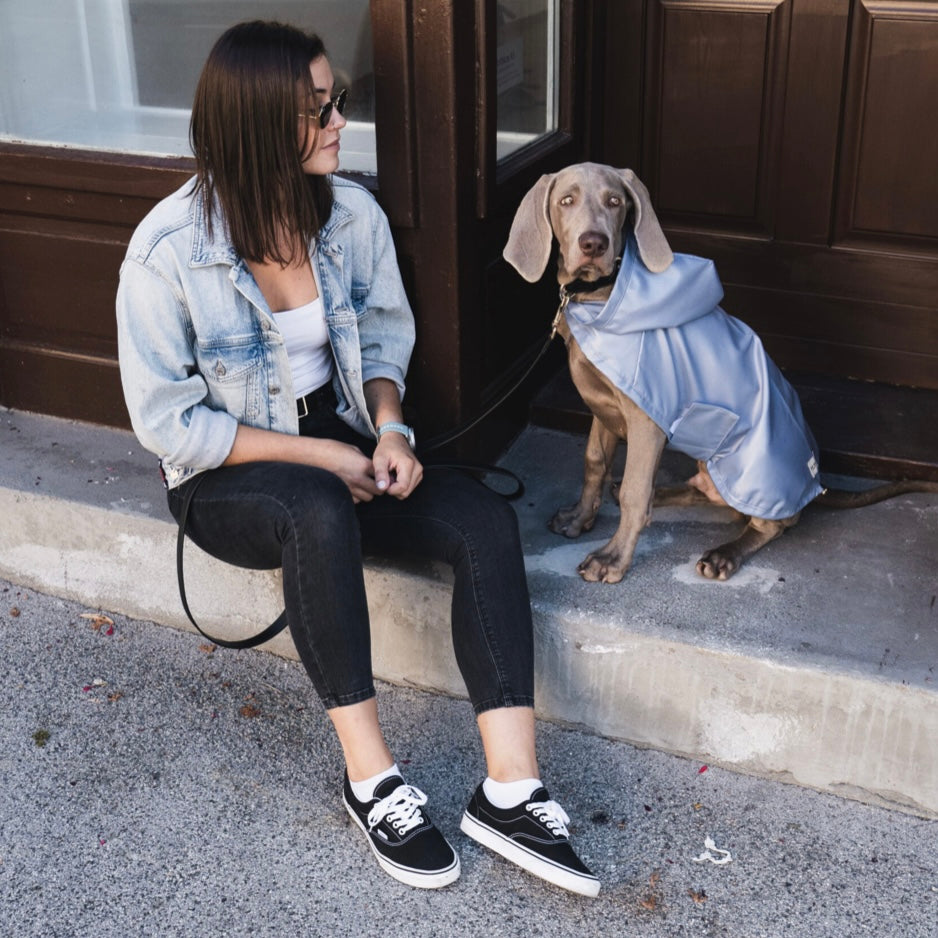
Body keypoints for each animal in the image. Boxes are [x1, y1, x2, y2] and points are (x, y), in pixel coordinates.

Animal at [504, 165, 936, 580]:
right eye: (566, 200)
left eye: (615, 202)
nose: (593, 244)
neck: (599, 298)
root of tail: (816, 485)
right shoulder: (602, 404)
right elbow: (594, 462)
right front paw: (579, 518)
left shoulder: (646, 419)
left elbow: (634, 493)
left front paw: (612, 559)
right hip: (709, 463)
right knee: (704, 491)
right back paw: (666, 496)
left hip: (751, 473)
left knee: (774, 523)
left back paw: (724, 554)